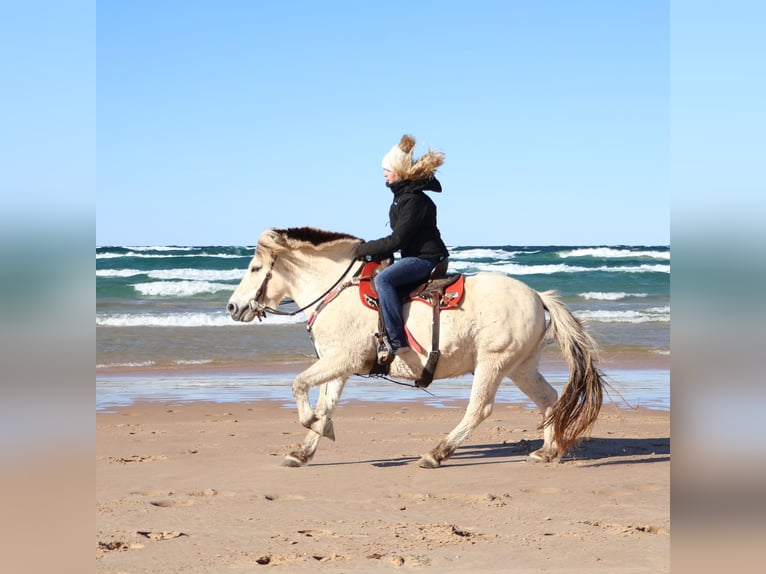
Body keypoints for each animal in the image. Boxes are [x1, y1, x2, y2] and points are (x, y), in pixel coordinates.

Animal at [227, 226, 605, 468]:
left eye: (255, 268)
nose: (232, 306)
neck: (336, 293)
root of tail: (537, 296)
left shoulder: (342, 359)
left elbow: (299, 385)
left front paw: (316, 425)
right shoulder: (339, 365)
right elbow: (325, 403)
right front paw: (307, 447)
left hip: (493, 363)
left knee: (479, 408)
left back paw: (437, 454)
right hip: (520, 366)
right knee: (549, 399)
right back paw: (547, 452)